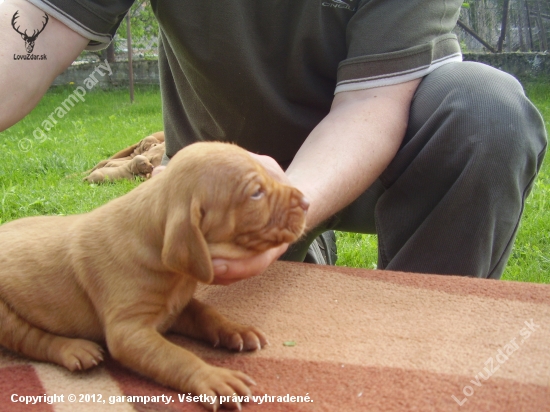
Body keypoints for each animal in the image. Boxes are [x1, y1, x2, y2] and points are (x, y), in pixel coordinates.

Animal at [0, 142, 310, 408]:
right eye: (256, 193)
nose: (306, 201)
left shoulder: (178, 306)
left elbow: (207, 313)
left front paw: (236, 329)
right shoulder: (129, 331)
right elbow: (176, 356)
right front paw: (213, 377)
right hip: (6, 317)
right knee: (33, 341)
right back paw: (75, 350)